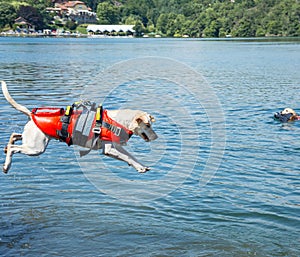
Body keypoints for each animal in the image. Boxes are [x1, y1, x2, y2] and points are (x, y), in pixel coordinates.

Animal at [2, 81, 158, 173]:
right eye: (148, 125)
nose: (156, 137)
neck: (118, 121)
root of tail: (31, 114)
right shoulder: (109, 149)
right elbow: (128, 157)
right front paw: (139, 167)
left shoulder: (115, 147)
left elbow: (131, 156)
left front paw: (141, 166)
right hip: (36, 148)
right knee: (13, 148)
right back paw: (6, 165)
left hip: (33, 141)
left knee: (15, 136)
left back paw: (8, 145)